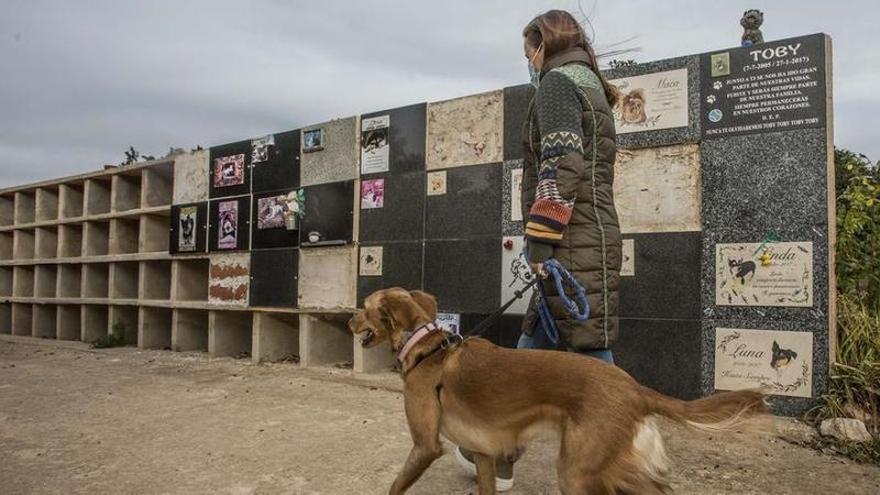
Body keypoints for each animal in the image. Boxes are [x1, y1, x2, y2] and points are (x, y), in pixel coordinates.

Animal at [348, 288, 768, 494]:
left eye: (365, 306)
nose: (349, 318)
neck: (427, 347)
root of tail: (634, 388)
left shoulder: (425, 445)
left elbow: (395, 486)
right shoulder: (483, 453)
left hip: (578, 471)